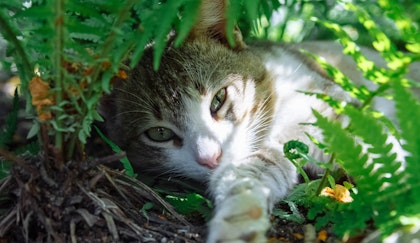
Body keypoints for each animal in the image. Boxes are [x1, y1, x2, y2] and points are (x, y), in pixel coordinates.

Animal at [99, 0, 416, 242]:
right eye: (160, 134)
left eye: (219, 98)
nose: (211, 157)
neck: (275, 107)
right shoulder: (273, 152)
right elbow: (245, 180)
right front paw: (236, 225)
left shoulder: (341, 113)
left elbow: (388, 163)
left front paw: (405, 218)